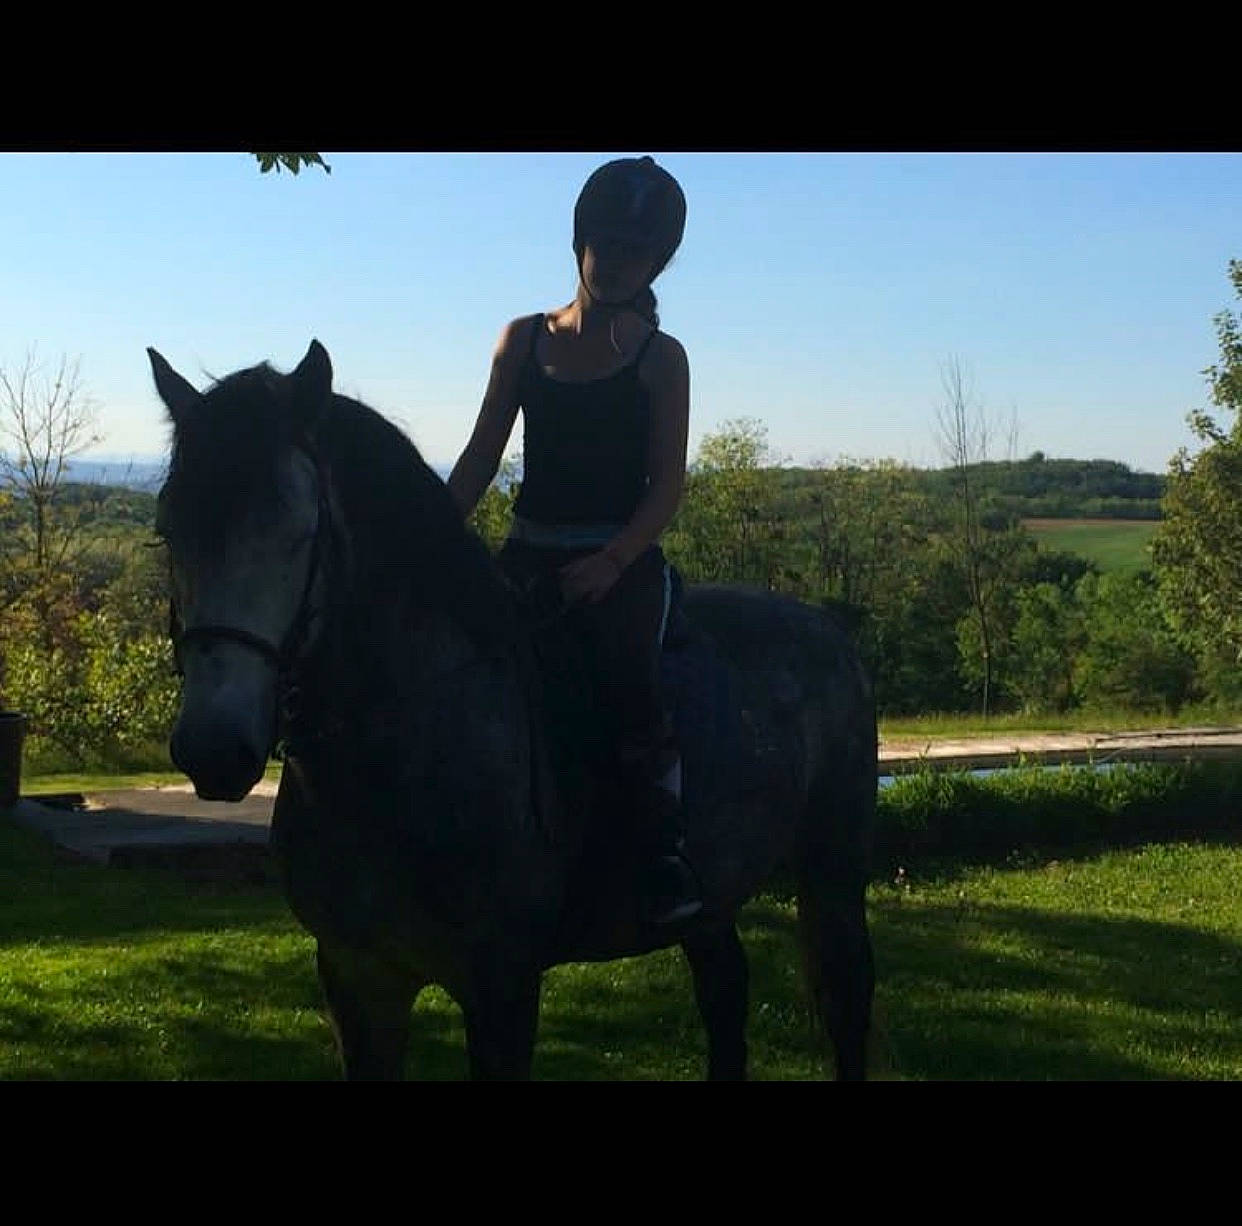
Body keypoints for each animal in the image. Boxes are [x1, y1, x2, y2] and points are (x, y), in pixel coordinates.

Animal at [148, 340, 878, 1081]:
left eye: (299, 532)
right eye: (169, 530)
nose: (213, 748)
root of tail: (826, 628)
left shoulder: (501, 987)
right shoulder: (358, 980)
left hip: (833, 867)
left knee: (844, 1002)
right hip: (713, 898)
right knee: (726, 994)